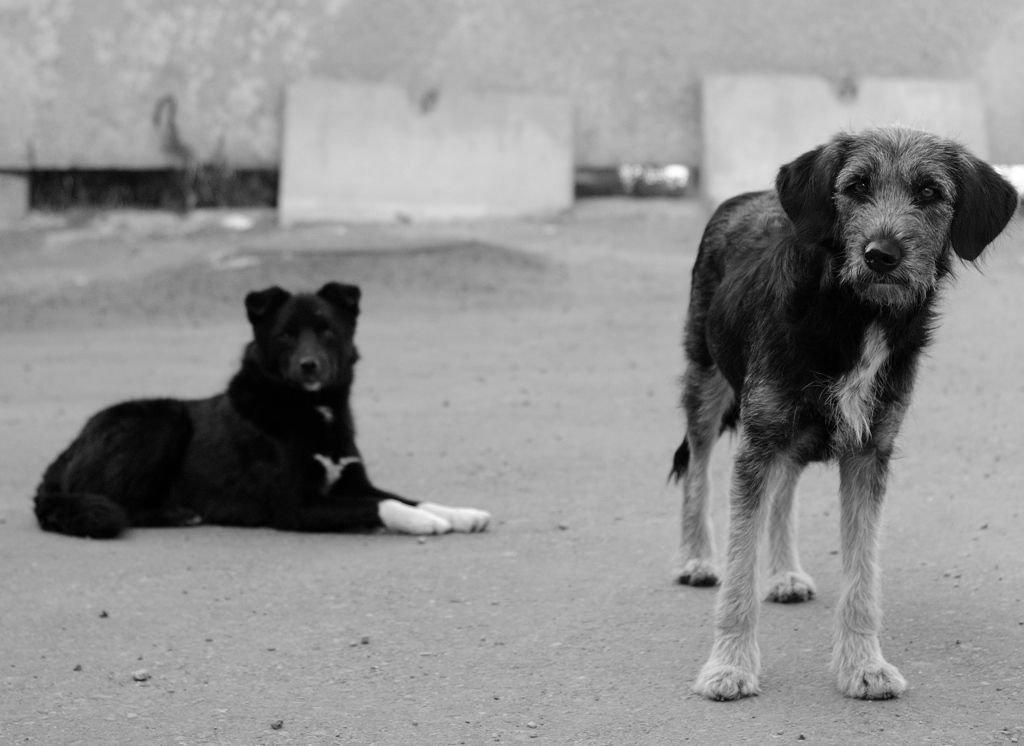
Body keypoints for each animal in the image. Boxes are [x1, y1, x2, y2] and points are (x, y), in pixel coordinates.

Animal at [34, 282, 489, 540]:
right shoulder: (295, 506)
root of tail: (60, 461)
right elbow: (384, 506)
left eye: (327, 331)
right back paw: (179, 514)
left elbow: (407, 497)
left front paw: (460, 514)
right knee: (121, 501)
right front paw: (422, 522)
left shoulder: (353, 483)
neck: (312, 410)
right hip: (162, 421)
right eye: (286, 335)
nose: (309, 365)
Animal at [671, 125, 1015, 699]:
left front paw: (864, 666)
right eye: (856, 186)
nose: (881, 255)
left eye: (929, 192)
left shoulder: (868, 452)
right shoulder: (758, 442)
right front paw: (729, 666)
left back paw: (783, 572)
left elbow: (862, 573)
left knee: (785, 485)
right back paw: (697, 558)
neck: (855, 312)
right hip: (707, 379)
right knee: (698, 467)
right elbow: (739, 569)